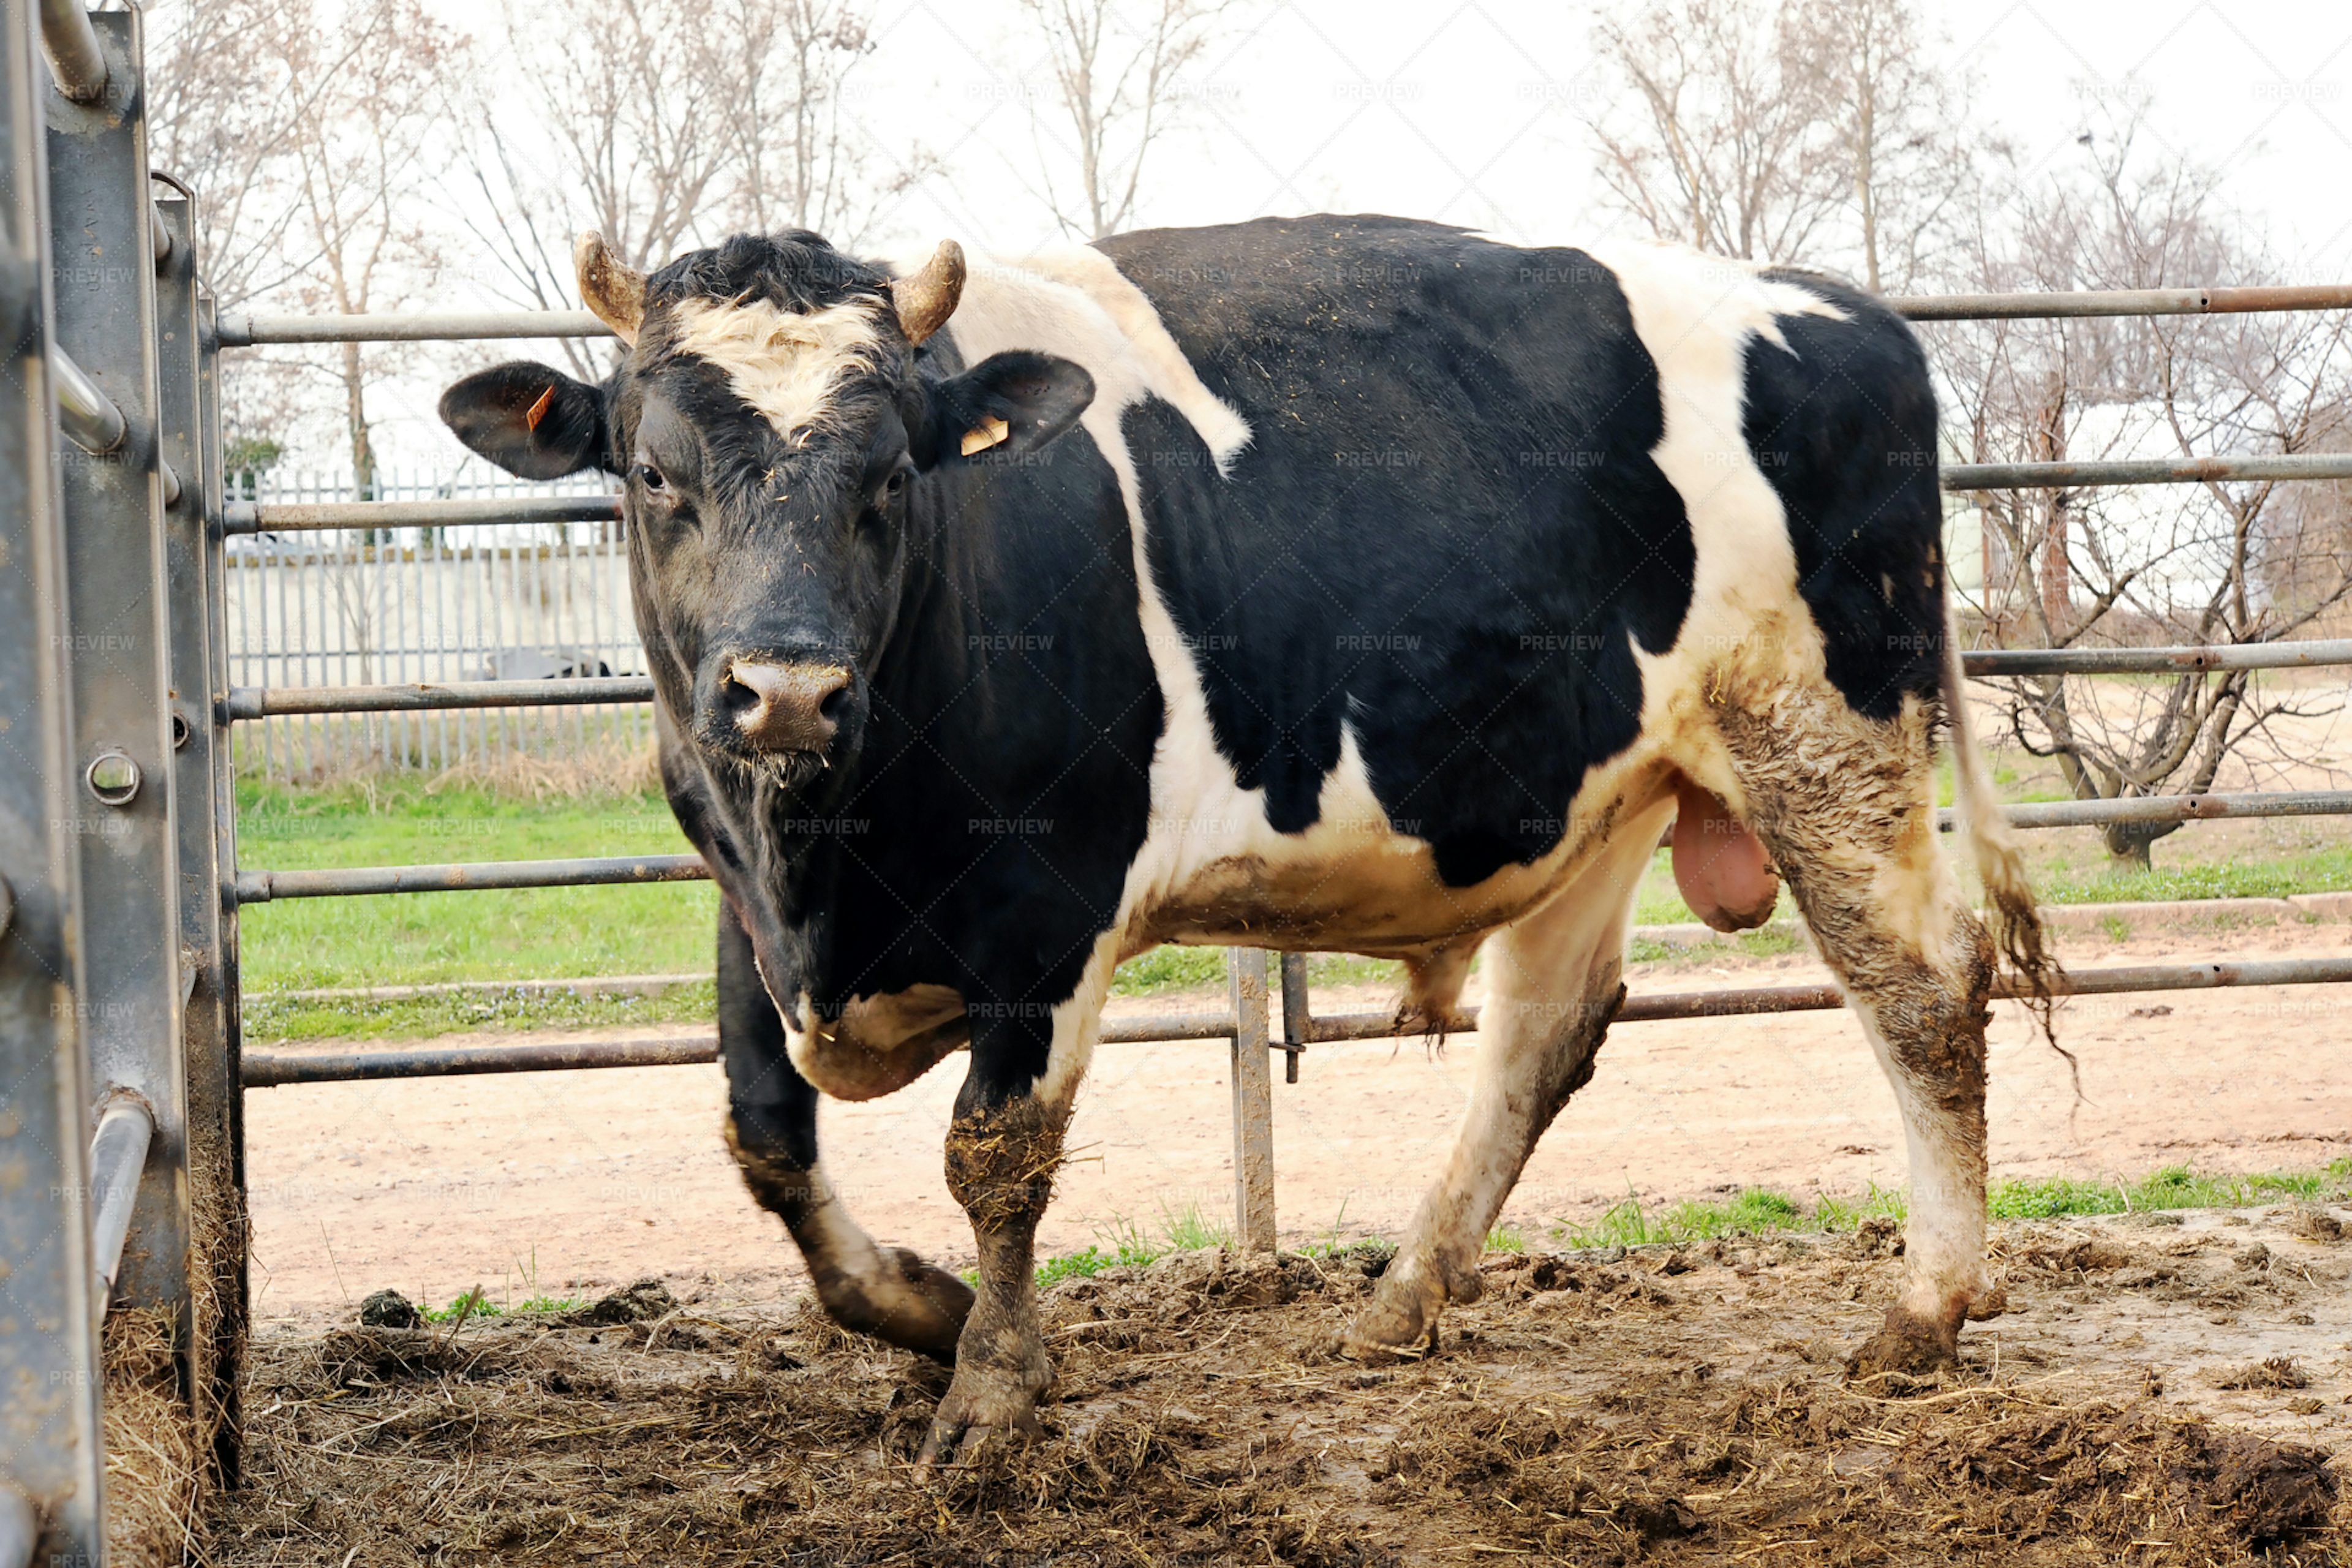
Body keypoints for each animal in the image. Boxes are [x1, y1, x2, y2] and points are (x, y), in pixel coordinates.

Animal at [437, 215, 2041, 1466]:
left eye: (892, 475)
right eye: (654, 475)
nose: (783, 688)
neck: (829, 854)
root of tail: (1834, 305)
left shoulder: (1056, 903)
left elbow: (995, 1154)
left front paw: (991, 1392)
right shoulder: (739, 893)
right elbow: (767, 1139)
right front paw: (921, 1308)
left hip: (1822, 730)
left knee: (1920, 990)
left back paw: (1923, 1311)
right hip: (1610, 790)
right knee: (1545, 1032)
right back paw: (1402, 1296)